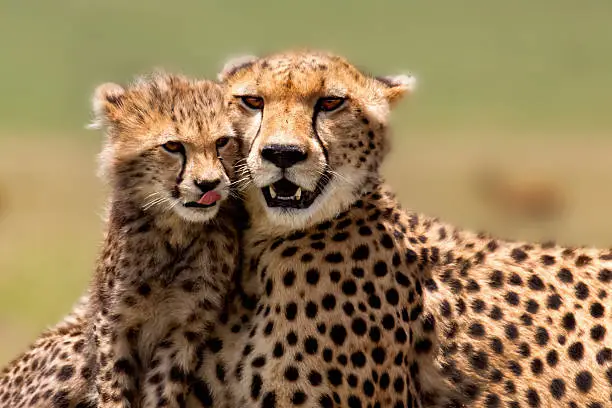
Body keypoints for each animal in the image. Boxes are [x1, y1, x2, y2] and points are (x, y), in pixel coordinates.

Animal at [0, 73, 244, 408]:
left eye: (222, 142)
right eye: (172, 146)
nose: (208, 184)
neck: (175, 233)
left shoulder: (187, 327)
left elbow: (162, 389)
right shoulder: (113, 323)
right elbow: (113, 386)